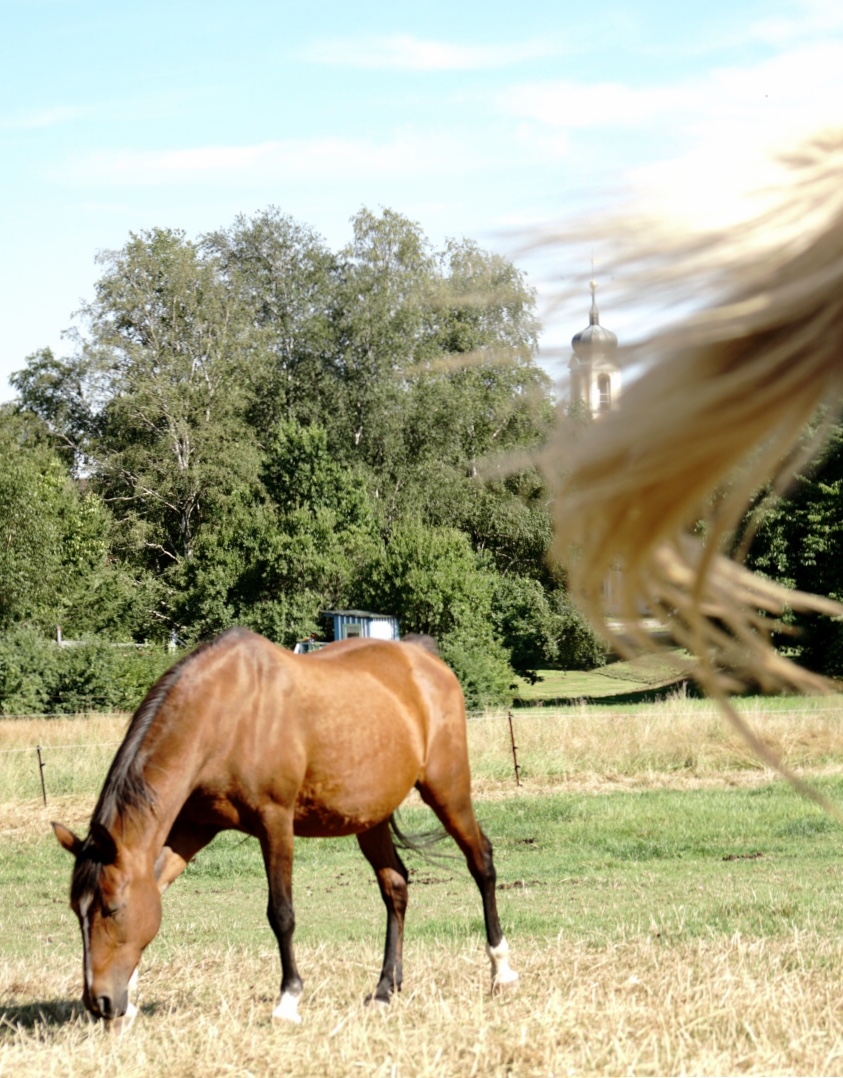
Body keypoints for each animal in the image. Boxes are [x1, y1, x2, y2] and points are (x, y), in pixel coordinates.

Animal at [52, 629, 517, 1026]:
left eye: (113, 908)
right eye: (78, 911)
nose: (99, 1001)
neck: (226, 712)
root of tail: (424, 658)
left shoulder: (275, 821)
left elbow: (281, 913)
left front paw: (288, 1001)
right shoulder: (193, 829)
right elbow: (156, 885)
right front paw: (131, 1001)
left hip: (447, 789)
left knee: (482, 862)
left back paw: (501, 971)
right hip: (370, 817)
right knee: (396, 885)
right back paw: (386, 989)